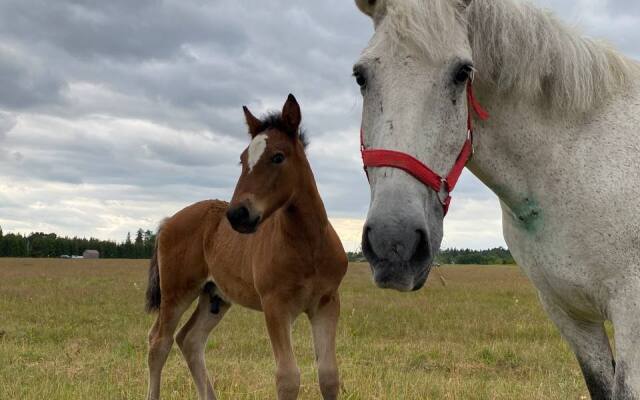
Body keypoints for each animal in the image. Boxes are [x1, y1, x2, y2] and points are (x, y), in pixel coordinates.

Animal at [144, 94, 348, 400]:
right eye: (242, 159)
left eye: (278, 157)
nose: (237, 214)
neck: (308, 245)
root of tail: (168, 221)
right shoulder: (275, 306)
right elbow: (288, 378)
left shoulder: (326, 303)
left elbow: (329, 376)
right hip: (177, 292)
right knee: (160, 342)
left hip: (214, 296)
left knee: (190, 339)